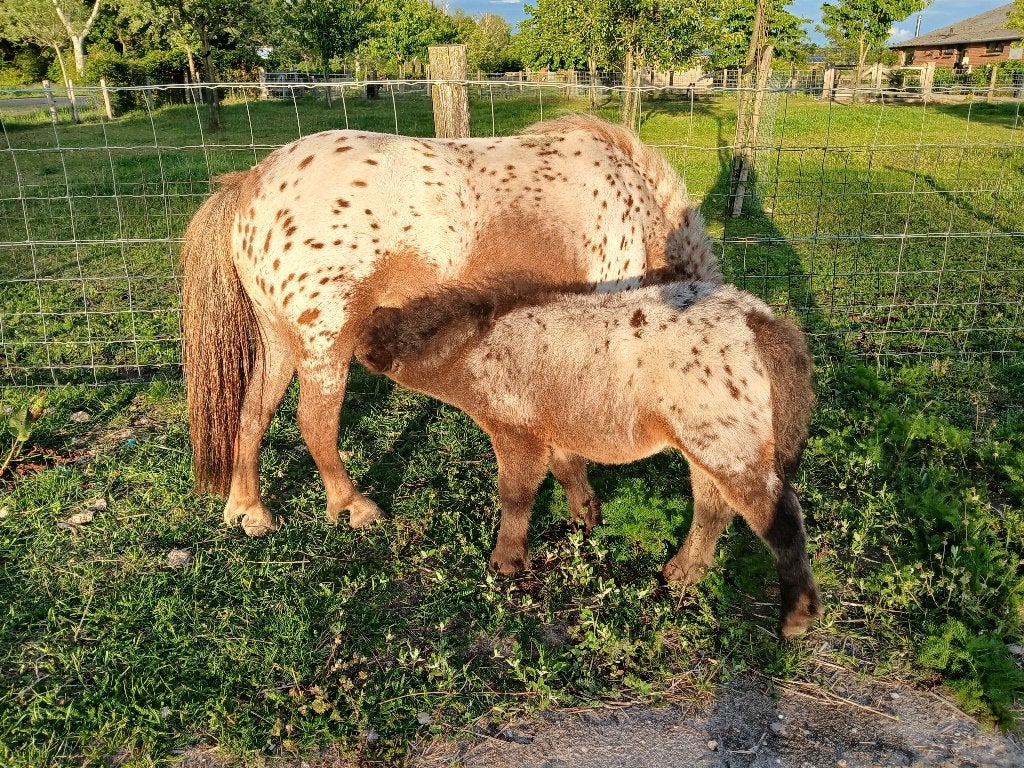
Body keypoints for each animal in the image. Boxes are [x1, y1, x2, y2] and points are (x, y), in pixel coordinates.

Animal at [181, 115, 720, 537]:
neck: (640, 213)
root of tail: (252, 180)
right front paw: (583, 507)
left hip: (280, 340)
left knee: (253, 413)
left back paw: (249, 511)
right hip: (326, 340)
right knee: (314, 423)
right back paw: (354, 506)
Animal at [354, 280, 821, 637]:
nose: (356, 347)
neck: (474, 347)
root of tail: (761, 321)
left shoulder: (516, 432)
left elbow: (515, 494)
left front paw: (506, 561)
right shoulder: (554, 429)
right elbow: (568, 470)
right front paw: (587, 518)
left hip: (729, 447)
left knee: (778, 516)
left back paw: (797, 618)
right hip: (705, 445)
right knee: (712, 508)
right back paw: (683, 570)